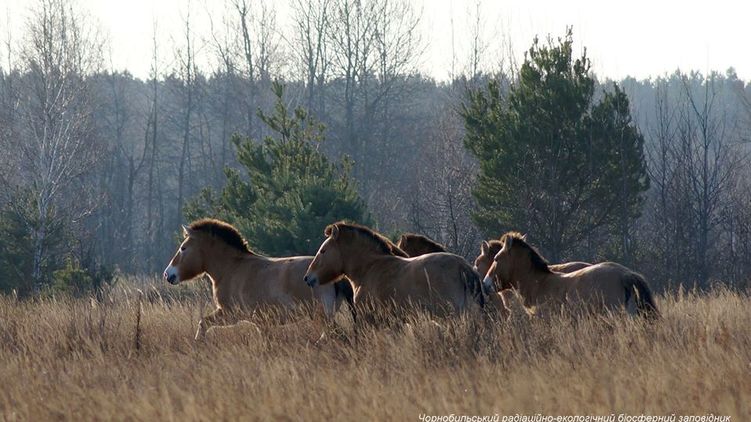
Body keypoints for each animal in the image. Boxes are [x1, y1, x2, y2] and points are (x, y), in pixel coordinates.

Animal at [164, 218, 356, 340]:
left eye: (183, 248)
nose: (168, 274)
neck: (232, 268)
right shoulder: (258, 322)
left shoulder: (230, 314)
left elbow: (203, 323)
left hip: (321, 316)